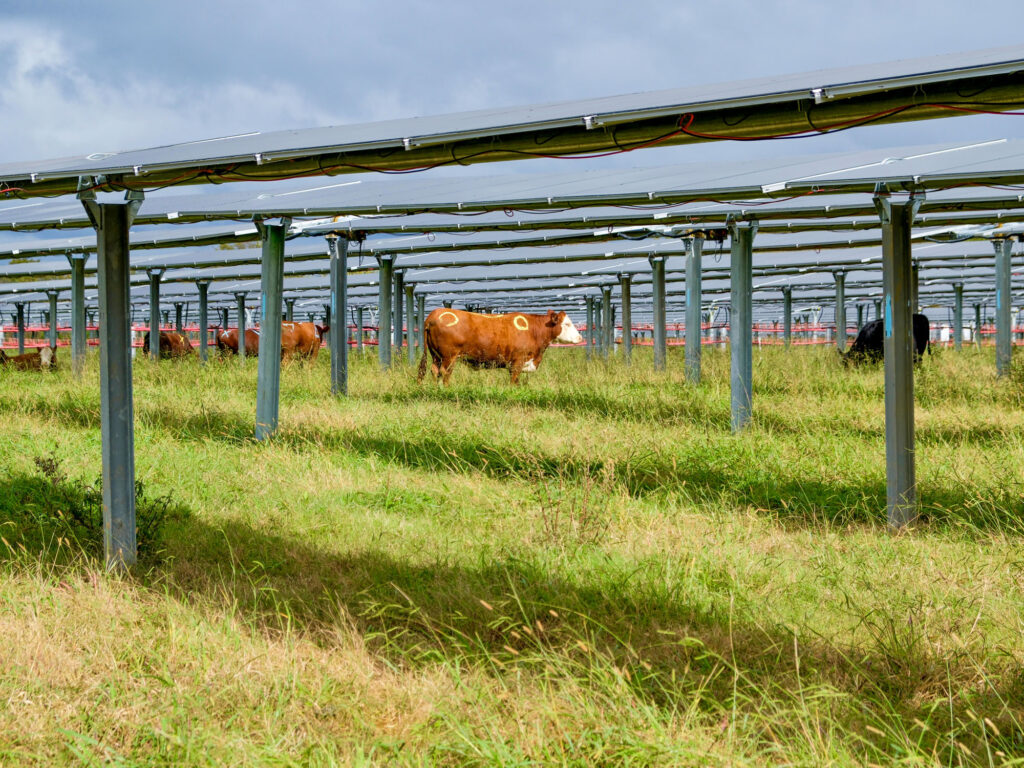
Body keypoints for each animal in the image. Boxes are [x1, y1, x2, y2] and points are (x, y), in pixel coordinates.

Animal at [418, 308, 583, 385]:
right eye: (567, 324)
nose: (580, 337)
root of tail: (434, 314)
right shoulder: (517, 362)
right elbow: (513, 381)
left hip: (436, 356)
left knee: (435, 371)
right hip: (449, 356)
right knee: (444, 373)